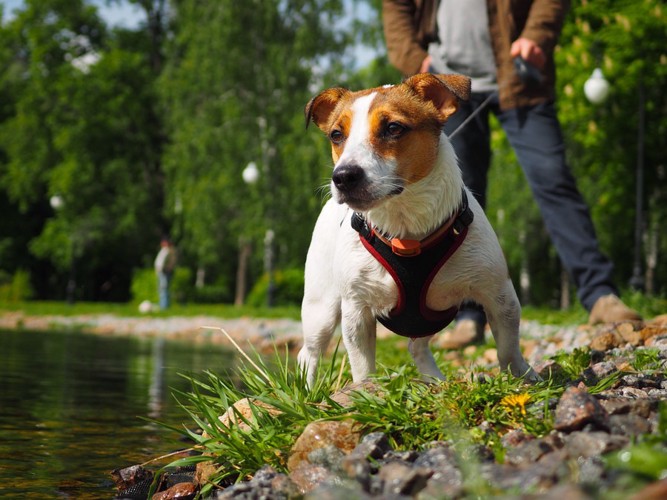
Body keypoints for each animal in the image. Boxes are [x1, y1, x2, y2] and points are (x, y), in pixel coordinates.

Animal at [298, 73, 536, 386]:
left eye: (393, 128)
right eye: (336, 135)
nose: (343, 176)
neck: (406, 228)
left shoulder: (499, 294)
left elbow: (508, 346)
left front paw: (522, 375)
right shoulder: (356, 310)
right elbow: (362, 365)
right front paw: (364, 390)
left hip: (430, 315)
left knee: (417, 346)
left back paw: (434, 378)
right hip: (321, 309)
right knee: (309, 353)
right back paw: (306, 391)